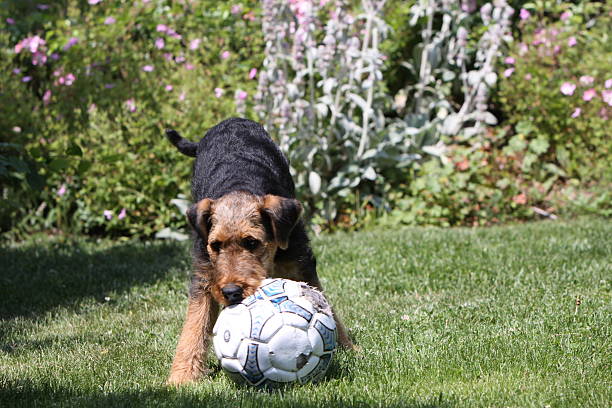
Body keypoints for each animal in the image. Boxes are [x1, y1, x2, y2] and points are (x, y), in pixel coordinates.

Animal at [165, 116, 354, 384]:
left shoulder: (301, 261)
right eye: (215, 245)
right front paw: (181, 377)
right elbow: (194, 325)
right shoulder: (204, 274)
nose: (231, 292)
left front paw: (349, 349)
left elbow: (324, 304)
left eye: (252, 242)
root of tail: (231, 120)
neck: (240, 185)